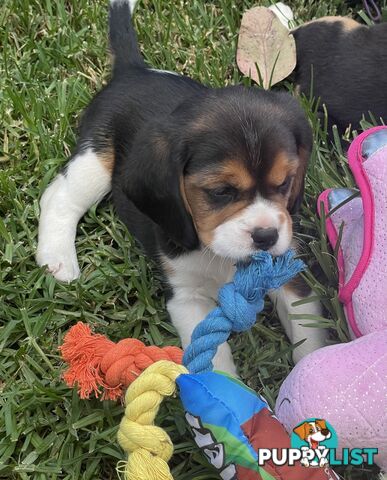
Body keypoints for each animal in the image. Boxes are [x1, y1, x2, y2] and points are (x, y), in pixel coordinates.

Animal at [36, 0, 328, 376]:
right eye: (221, 192)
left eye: (285, 183)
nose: (266, 237)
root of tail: (132, 71)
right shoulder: (186, 297)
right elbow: (212, 362)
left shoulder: (290, 277)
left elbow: (310, 334)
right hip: (95, 158)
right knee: (59, 197)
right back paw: (57, 258)